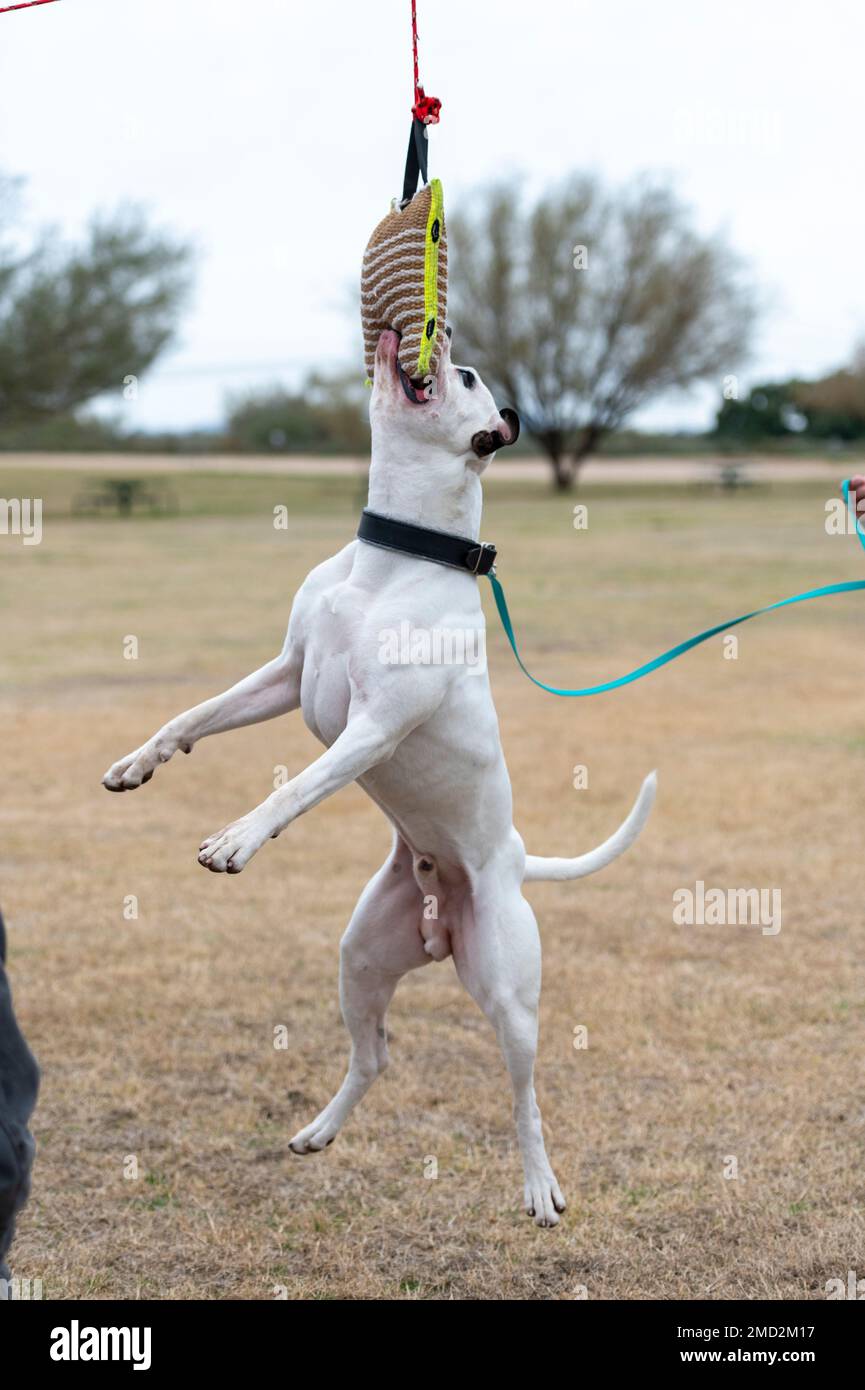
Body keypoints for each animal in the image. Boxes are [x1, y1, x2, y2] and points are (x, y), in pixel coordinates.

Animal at [103, 328, 656, 1228]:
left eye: (463, 377)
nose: (440, 336)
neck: (392, 557)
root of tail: (506, 860)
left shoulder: (373, 727)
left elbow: (295, 786)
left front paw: (239, 838)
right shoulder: (286, 674)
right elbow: (193, 716)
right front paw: (139, 762)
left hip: (509, 998)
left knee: (524, 1098)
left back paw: (539, 1187)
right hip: (360, 960)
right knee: (375, 1057)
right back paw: (319, 1132)